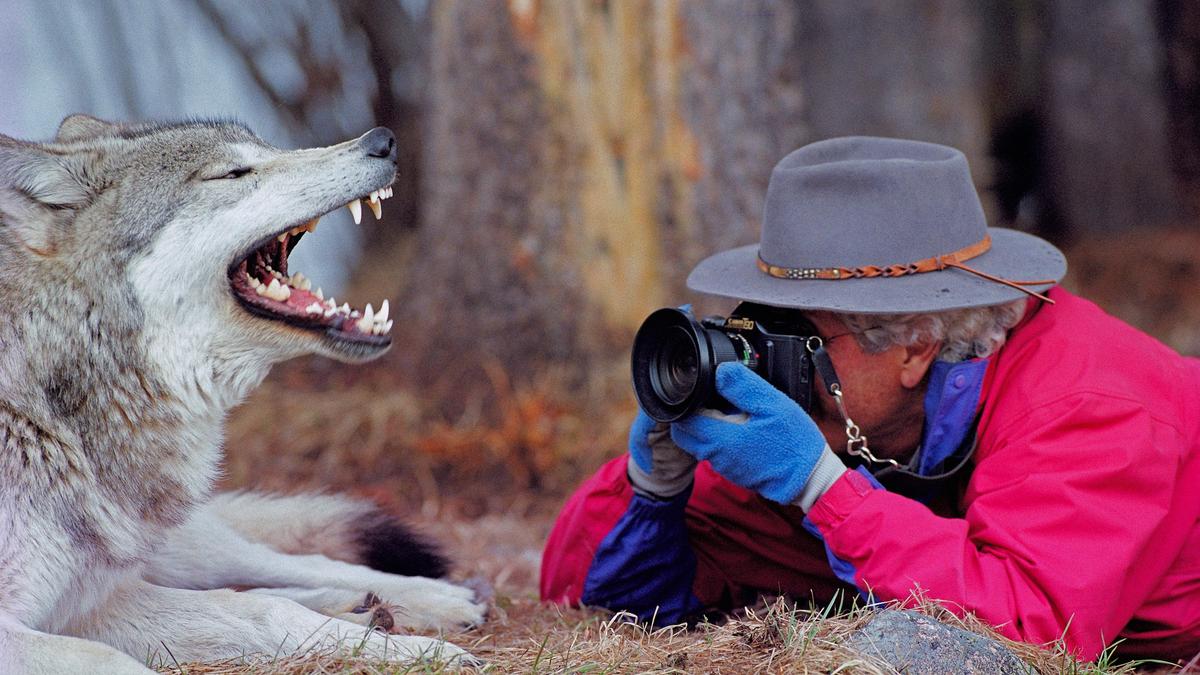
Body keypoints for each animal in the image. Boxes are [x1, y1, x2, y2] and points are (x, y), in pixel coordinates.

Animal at [0, 115, 486, 673]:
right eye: (233, 173)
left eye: (266, 149)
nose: (382, 140)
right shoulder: (65, 615)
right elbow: (135, 654)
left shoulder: (87, 601)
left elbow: (263, 609)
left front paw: (418, 651)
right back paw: (364, 609)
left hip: (178, 546)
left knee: (276, 567)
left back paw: (433, 600)